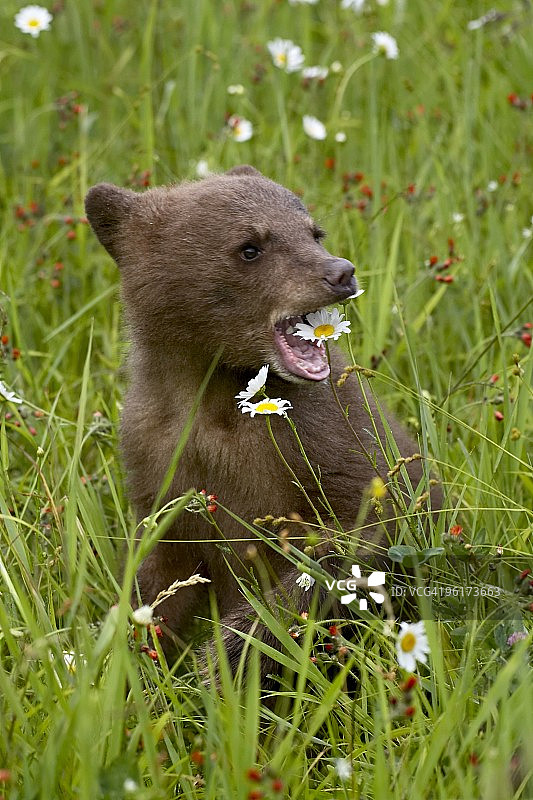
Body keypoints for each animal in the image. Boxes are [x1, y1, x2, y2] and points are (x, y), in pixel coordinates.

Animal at [85, 165, 437, 674]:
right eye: (250, 246)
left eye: (313, 232)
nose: (341, 272)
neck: (213, 397)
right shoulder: (159, 458)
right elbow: (156, 580)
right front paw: (130, 665)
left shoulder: (324, 436)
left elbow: (359, 529)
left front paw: (225, 657)